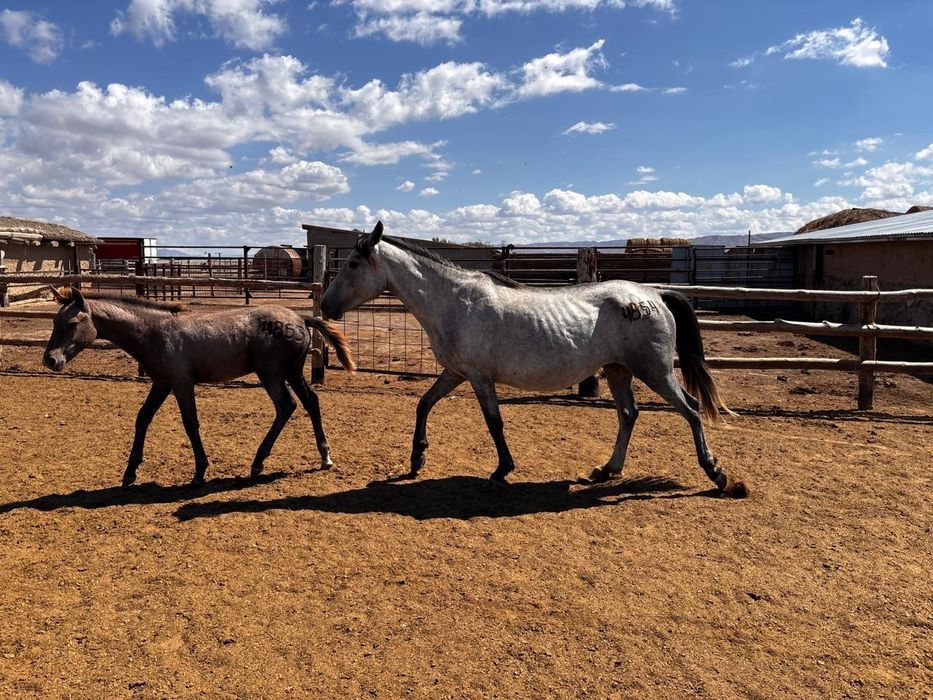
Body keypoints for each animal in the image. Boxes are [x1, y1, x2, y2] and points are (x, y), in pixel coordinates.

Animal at [42, 286, 355, 486]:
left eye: (72, 323)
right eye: (55, 321)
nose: (51, 359)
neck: (155, 332)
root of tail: (301, 318)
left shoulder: (182, 384)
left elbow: (190, 423)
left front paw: (200, 472)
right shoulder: (161, 383)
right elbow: (142, 418)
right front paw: (130, 473)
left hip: (271, 374)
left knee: (286, 406)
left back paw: (258, 462)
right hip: (291, 372)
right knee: (310, 401)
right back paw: (324, 457)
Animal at [321, 222, 746, 496]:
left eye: (353, 264)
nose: (325, 306)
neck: (454, 302)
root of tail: (654, 294)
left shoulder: (479, 377)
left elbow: (494, 423)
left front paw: (501, 470)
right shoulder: (456, 372)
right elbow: (424, 404)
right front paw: (416, 459)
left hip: (653, 370)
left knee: (690, 409)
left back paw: (719, 475)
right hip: (618, 371)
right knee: (629, 414)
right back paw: (606, 470)